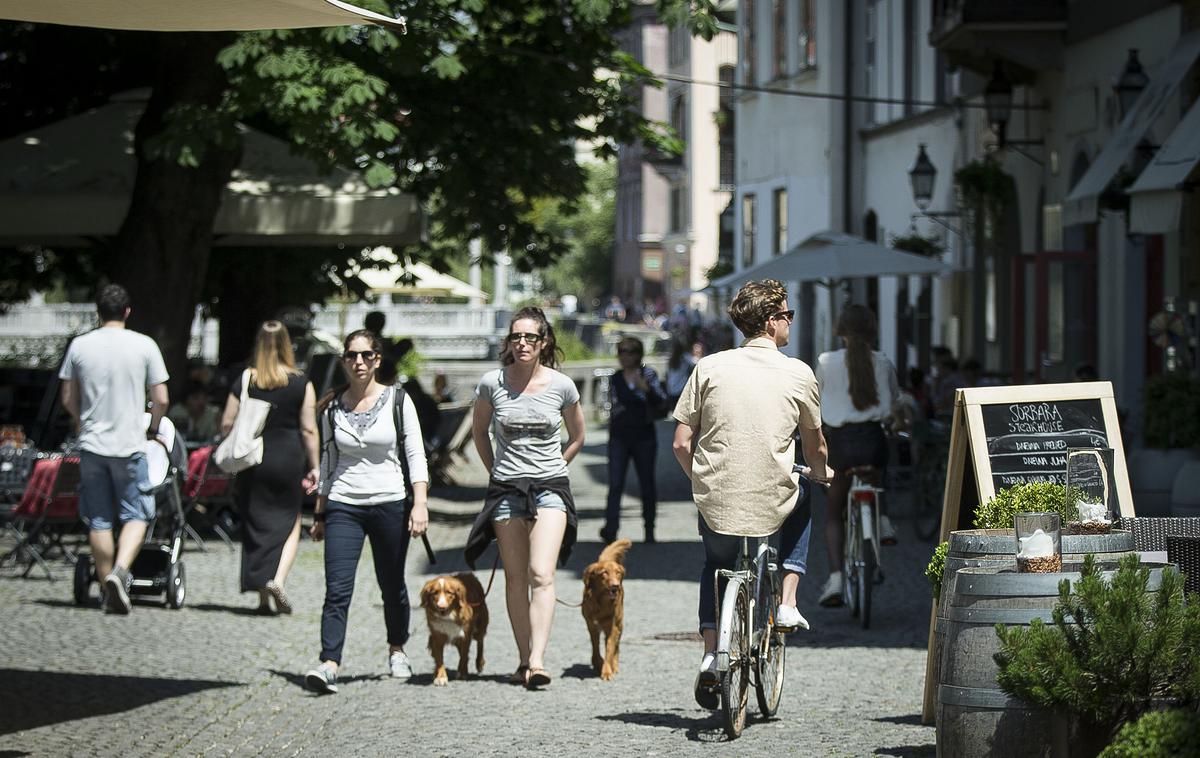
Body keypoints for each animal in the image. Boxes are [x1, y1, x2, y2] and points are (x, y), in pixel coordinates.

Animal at [578, 539, 633, 681]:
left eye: (618, 572)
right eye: (604, 573)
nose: (616, 586)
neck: (601, 603)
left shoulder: (612, 627)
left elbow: (609, 649)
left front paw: (607, 671)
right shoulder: (591, 626)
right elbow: (595, 646)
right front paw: (598, 663)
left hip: (619, 624)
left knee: (617, 646)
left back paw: (615, 665)